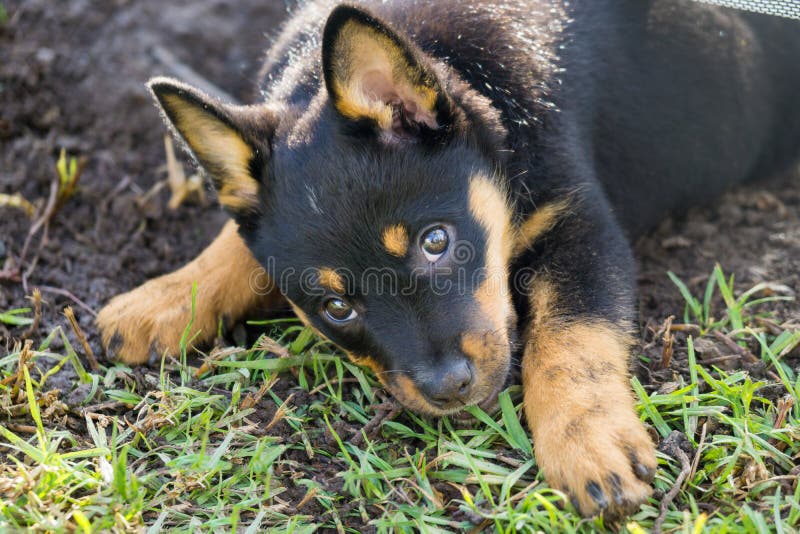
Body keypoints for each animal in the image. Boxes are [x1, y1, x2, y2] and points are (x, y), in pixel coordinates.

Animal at [98, 0, 800, 520]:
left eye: (436, 242)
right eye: (336, 306)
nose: (448, 388)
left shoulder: (580, 220)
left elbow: (571, 339)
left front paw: (589, 446)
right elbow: (234, 241)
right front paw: (163, 298)